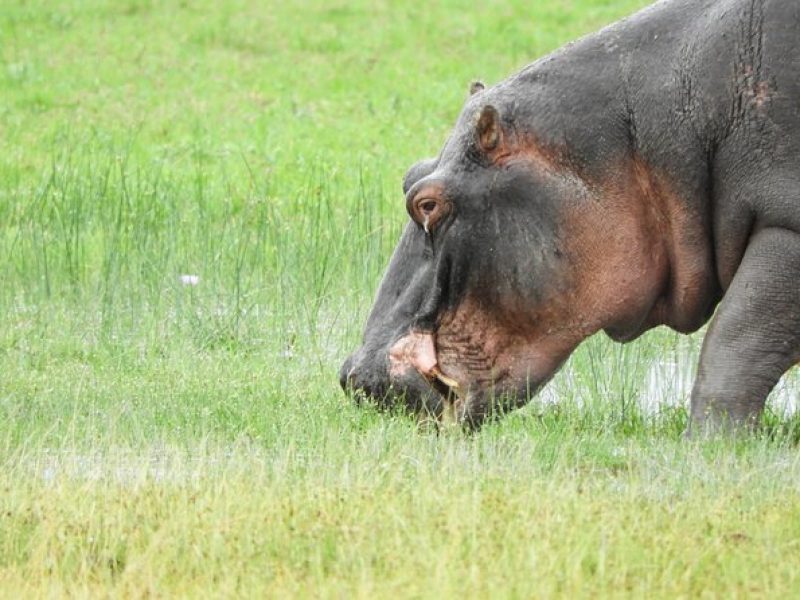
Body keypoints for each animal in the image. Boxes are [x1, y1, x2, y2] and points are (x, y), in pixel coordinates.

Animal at [340, 0, 800, 434]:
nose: (354, 374)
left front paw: (710, 444)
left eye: (426, 204)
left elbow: (735, 340)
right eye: (410, 173)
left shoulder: (786, 227)